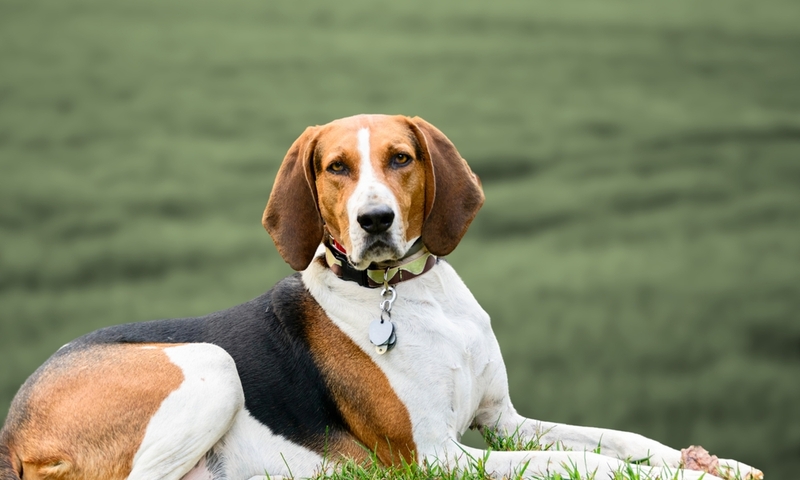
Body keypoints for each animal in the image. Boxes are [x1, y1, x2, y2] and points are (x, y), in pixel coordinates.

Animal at [1, 115, 764, 480]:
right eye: (336, 168)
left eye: (401, 158)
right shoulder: (438, 457)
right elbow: (582, 463)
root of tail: (13, 425)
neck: (412, 298)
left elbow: (625, 441)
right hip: (210, 362)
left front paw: (713, 463)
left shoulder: (504, 420)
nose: (374, 221)